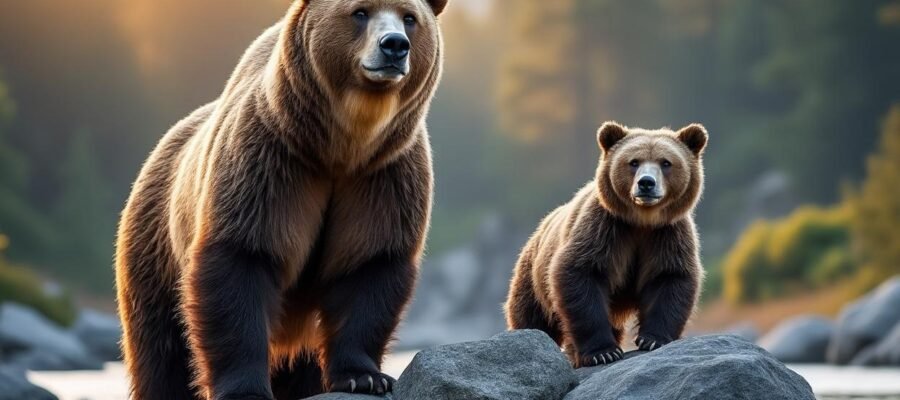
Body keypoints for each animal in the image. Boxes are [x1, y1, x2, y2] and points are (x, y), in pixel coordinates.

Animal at [114, 1, 448, 399]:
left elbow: (368, 267)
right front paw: (245, 388)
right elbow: (242, 260)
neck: (344, 143)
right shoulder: (272, 164)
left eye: (409, 18)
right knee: (162, 348)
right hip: (156, 249)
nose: (394, 45)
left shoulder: (383, 177)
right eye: (360, 12)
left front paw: (365, 376)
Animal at [504, 121, 707, 368]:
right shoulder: (605, 229)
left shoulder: (667, 236)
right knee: (533, 319)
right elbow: (581, 275)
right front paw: (603, 352)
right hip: (533, 277)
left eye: (666, 162)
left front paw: (653, 339)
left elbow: (670, 279)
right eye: (634, 162)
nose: (646, 183)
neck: (642, 221)